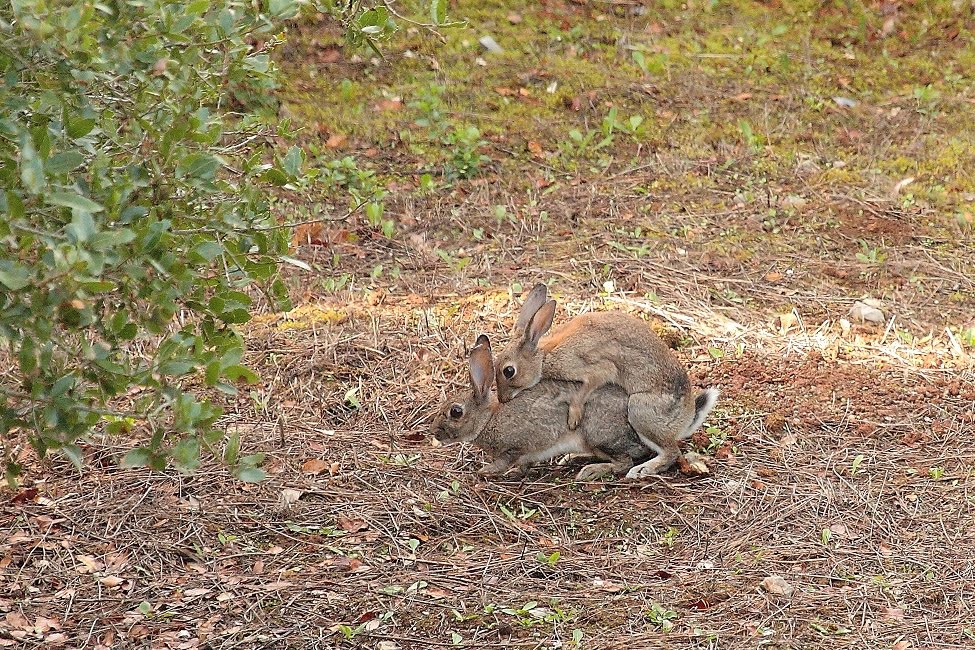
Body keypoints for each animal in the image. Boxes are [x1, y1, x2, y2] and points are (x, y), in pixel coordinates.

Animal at [430, 332, 660, 478]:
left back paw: (591, 471)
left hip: (599, 435)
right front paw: (515, 473)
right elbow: (524, 465)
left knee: (624, 462)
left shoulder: (516, 446)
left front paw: (487, 471)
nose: (434, 432)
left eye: (456, 412)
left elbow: (506, 460)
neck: (488, 420)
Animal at [496, 282, 716, 476]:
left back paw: (642, 469)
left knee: (671, 452)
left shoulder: (592, 366)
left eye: (509, 371)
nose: (502, 399)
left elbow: (587, 387)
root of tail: (686, 418)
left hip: (640, 410)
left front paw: (574, 416)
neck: (544, 356)